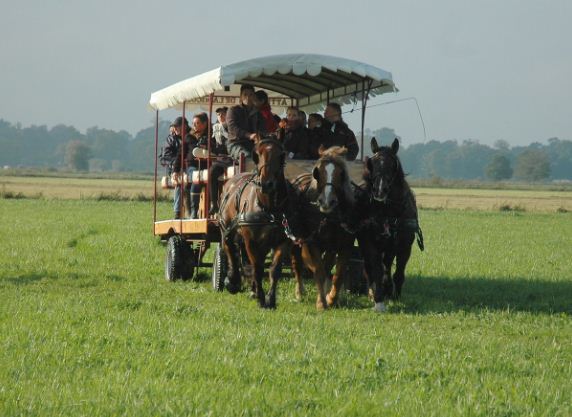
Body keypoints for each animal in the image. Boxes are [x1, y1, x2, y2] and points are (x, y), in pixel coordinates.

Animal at [217, 138, 292, 308]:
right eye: (257, 155)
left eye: (281, 155)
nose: (266, 184)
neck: (269, 209)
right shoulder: (250, 241)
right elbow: (257, 268)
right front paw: (260, 298)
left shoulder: (282, 241)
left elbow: (274, 270)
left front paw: (270, 299)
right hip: (227, 229)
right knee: (230, 250)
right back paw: (233, 281)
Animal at [290, 146, 358, 308]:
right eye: (318, 172)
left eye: (341, 173)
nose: (326, 202)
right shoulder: (313, 242)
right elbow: (319, 271)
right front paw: (321, 302)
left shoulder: (344, 245)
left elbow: (338, 274)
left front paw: (331, 298)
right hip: (296, 240)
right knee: (297, 264)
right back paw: (299, 292)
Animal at [356, 138, 422, 310]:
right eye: (372, 164)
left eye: (393, 165)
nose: (379, 191)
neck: (388, 211)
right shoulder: (370, 243)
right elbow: (376, 271)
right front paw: (378, 298)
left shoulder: (405, 246)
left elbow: (398, 272)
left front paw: (395, 295)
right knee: (369, 269)